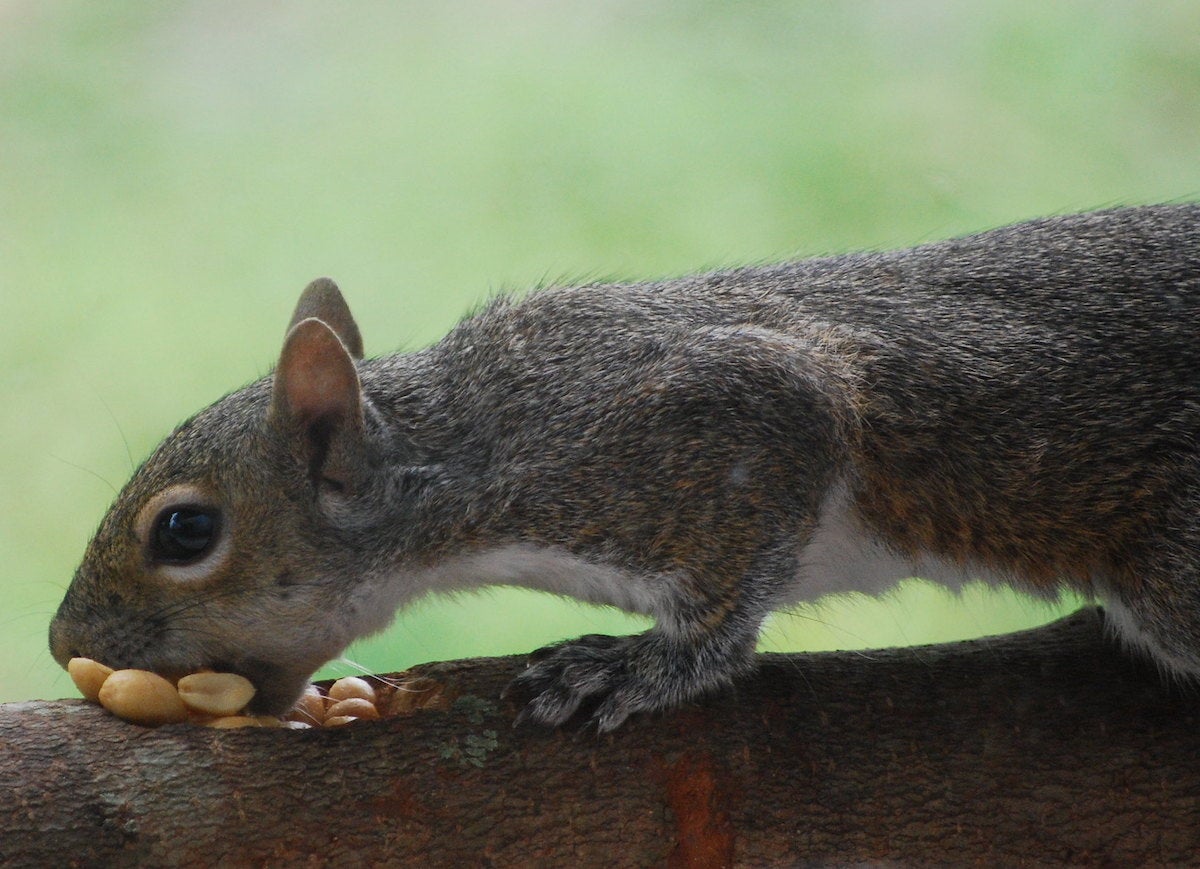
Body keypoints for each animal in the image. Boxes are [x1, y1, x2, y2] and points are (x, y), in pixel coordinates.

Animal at [51, 207, 1200, 729]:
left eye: (185, 530)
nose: (62, 642)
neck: (468, 452)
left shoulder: (682, 437)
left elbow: (729, 600)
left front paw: (642, 666)